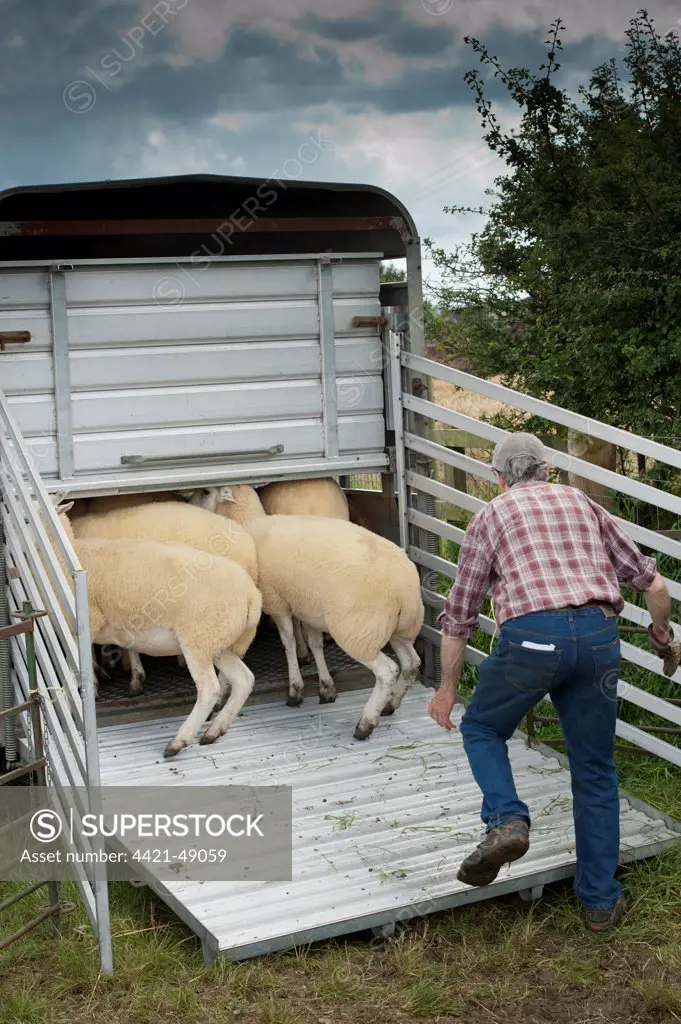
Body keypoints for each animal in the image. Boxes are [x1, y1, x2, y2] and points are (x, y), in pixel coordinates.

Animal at [193, 483, 421, 741]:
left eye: (205, 492)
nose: (189, 503)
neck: (250, 523)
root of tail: (406, 587)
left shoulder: (276, 601)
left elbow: (289, 642)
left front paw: (295, 689)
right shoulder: (309, 608)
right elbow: (315, 644)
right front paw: (326, 688)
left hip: (359, 631)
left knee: (387, 672)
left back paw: (366, 723)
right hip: (398, 629)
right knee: (411, 662)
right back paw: (391, 704)